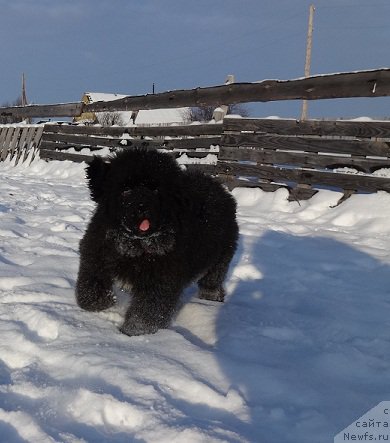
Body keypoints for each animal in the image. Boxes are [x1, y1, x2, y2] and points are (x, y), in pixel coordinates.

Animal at [73, 149, 238, 336]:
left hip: (220, 259)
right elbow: (90, 287)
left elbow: (146, 313)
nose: (142, 206)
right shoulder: (96, 253)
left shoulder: (160, 280)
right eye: (126, 189)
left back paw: (211, 299)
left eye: (156, 189)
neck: (136, 246)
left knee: (212, 281)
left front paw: (132, 333)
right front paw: (102, 305)